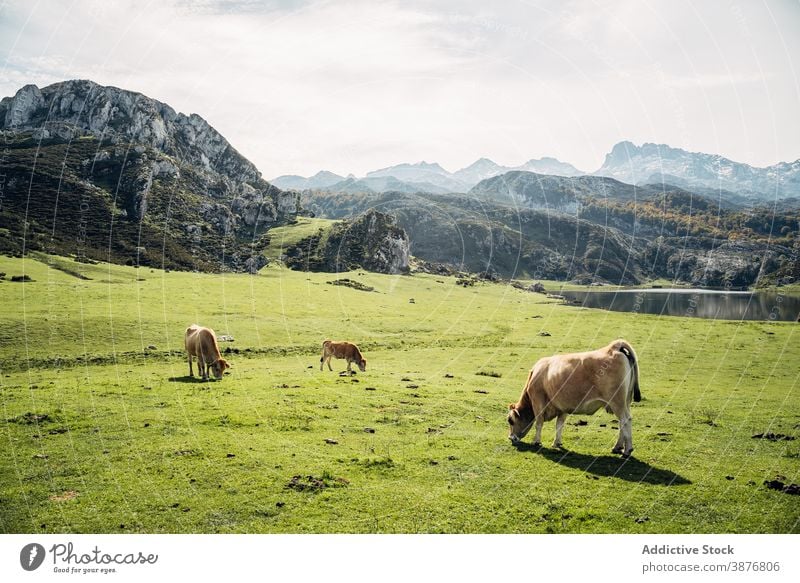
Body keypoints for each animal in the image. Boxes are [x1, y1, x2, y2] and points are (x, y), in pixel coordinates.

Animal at [506, 340, 644, 458]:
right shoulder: (562, 406)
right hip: (625, 401)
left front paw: (536, 442)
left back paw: (627, 450)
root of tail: (613, 347)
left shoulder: (538, 401)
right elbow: (559, 424)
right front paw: (557, 443)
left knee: (625, 420)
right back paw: (617, 447)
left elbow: (539, 422)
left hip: (617, 402)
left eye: (510, 420)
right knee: (622, 422)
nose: (510, 438)